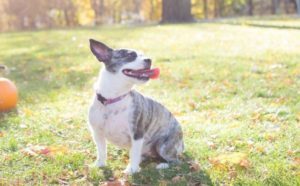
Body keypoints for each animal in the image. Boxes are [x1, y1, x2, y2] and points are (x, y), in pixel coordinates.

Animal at [88, 39, 184, 174]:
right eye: (130, 55)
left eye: (143, 55)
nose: (149, 59)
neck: (113, 99)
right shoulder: (97, 134)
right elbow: (101, 151)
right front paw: (100, 164)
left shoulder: (137, 134)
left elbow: (134, 153)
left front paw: (132, 170)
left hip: (163, 146)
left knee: (175, 161)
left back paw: (162, 165)